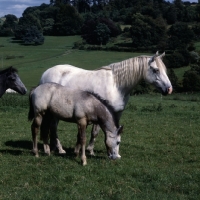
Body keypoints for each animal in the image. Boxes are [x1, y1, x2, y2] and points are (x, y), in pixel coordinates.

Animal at [40, 51, 172, 155]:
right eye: (156, 70)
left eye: (164, 70)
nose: (169, 89)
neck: (116, 86)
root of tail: (46, 73)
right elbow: (95, 132)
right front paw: (90, 150)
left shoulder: (117, 113)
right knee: (53, 127)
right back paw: (60, 149)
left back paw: (54, 148)